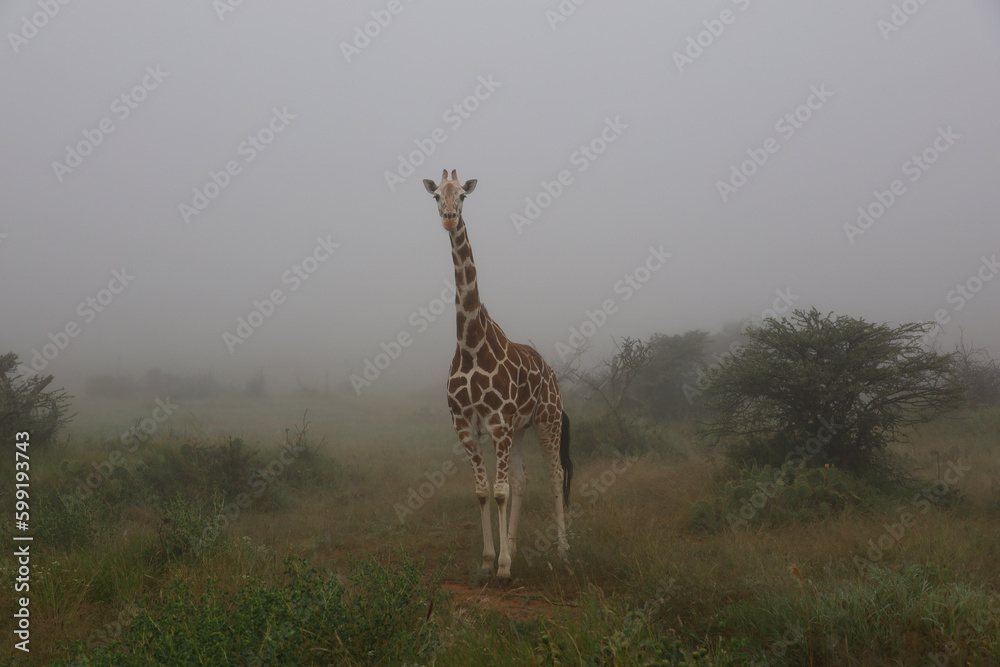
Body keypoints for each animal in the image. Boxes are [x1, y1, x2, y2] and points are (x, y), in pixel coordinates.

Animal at [423, 169, 573, 587]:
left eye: (463, 196)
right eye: (436, 195)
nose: (448, 218)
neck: (472, 344)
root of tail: (551, 373)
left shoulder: (499, 424)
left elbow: (501, 490)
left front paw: (504, 569)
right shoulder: (467, 426)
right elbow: (483, 491)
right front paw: (491, 559)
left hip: (546, 420)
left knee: (554, 474)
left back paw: (563, 552)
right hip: (521, 428)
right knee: (523, 479)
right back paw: (517, 547)